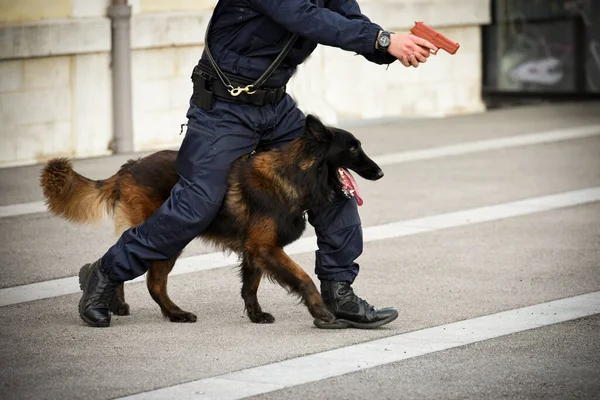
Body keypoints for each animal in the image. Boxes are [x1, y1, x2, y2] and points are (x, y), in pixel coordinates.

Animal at [39, 115, 384, 324]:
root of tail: (129, 166)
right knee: (150, 277)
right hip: (171, 234)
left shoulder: (254, 251)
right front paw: (321, 311)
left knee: (127, 254)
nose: (380, 173)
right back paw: (172, 312)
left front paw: (256, 315)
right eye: (353, 148)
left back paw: (116, 302)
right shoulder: (266, 248)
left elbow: (250, 286)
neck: (292, 175)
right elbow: (303, 278)